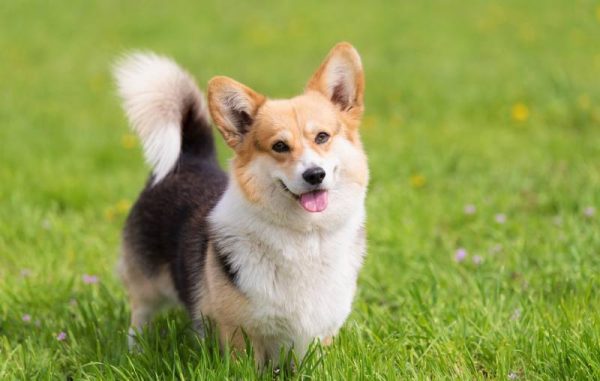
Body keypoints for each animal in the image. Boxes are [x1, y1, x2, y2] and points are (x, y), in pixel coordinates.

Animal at [114, 42, 368, 366]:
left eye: (322, 137)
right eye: (279, 146)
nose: (314, 175)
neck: (307, 236)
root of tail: (190, 157)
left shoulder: (319, 331)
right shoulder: (239, 333)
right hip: (146, 285)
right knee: (139, 318)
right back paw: (136, 353)